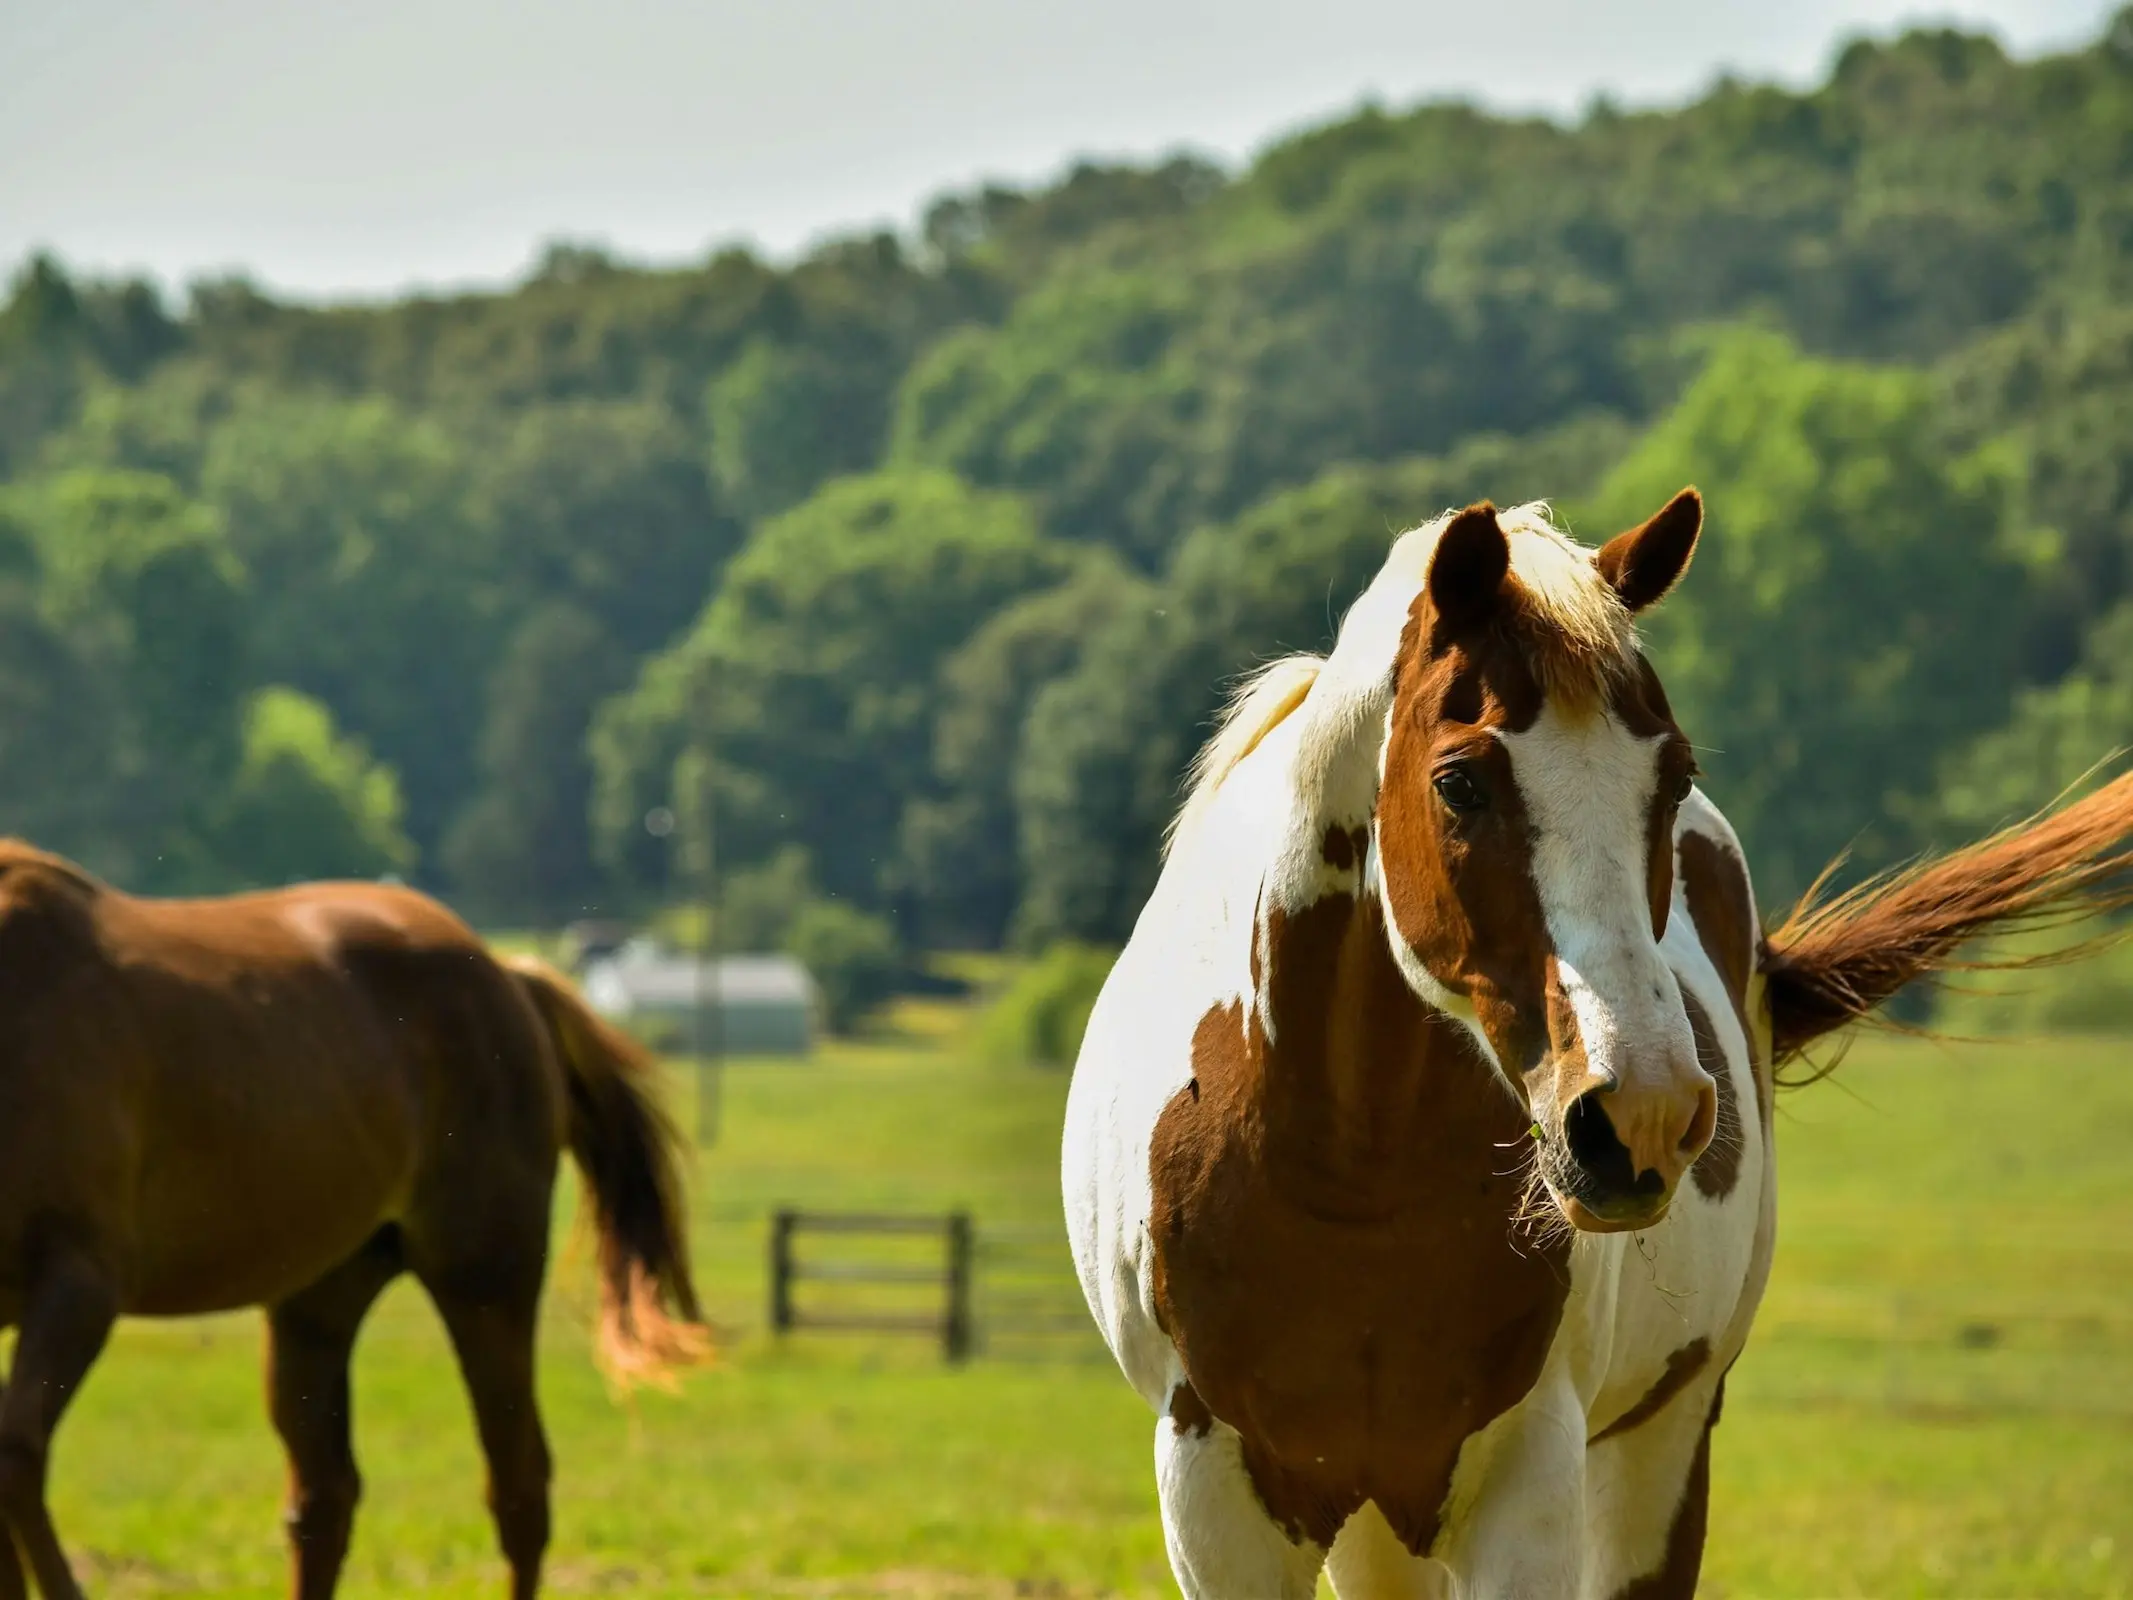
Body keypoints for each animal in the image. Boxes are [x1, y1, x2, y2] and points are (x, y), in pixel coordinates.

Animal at [0, 844, 708, 1595]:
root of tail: (507, 975)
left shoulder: (79, 1285)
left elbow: (14, 1455)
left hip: (486, 1279)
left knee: (518, 1486)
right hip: (318, 1300)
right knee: (325, 1498)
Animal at [1066, 499, 2133, 1600]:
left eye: (1673, 776)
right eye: (1460, 782)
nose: (1642, 1114)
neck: (1348, 1182)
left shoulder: (1528, 1473)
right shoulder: (1214, 1487)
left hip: (1658, 1444)